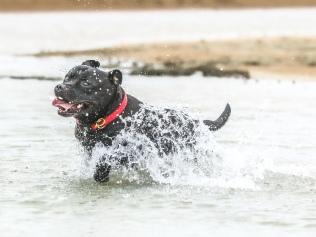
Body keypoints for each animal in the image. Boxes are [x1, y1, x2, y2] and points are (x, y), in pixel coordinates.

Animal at [51, 60, 230, 182]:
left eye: (86, 82)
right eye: (67, 77)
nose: (59, 86)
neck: (105, 118)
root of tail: (196, 123)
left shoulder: (128, 151)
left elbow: (106, 160)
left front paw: (100, 174)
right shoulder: (88, 149)